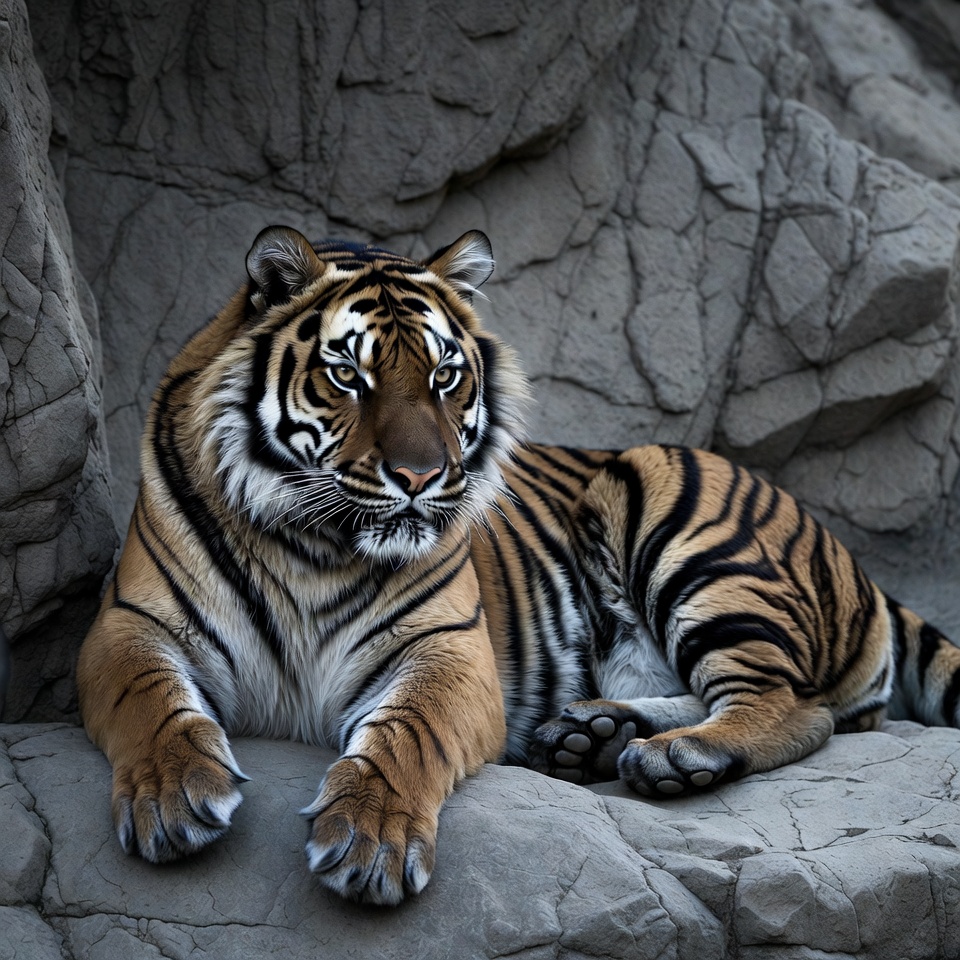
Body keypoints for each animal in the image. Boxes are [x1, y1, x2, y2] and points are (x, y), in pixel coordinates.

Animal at [77, 224, 960, 906]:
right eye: (348, 375)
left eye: (444, 375)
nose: (421, 477)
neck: (314, 543)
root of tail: (851, 558)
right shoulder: (127, 625)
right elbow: (149, 698)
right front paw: (171, 796)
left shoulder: (449, 653)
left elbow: (405, 733)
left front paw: (370, 841)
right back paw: (594, 736)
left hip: (679, 515)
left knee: (796, 704)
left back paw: (671, 756)